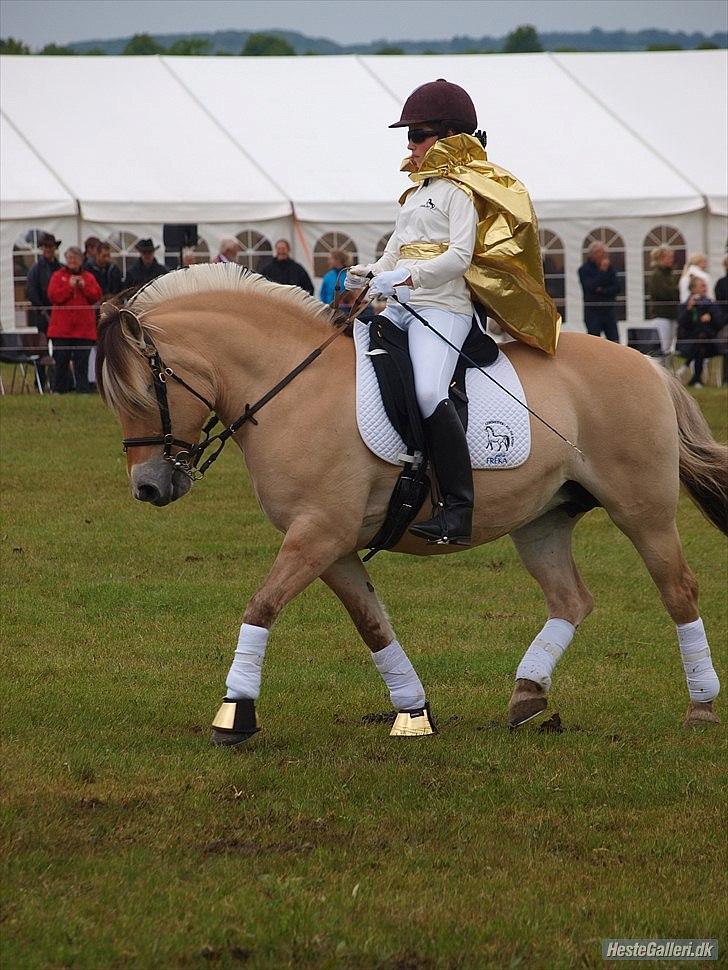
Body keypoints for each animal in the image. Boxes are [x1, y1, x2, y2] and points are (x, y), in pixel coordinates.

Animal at [96, 262, 728, 740]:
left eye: (145, 390)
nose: (148, 487)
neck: (292, 388)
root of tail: (647, 363)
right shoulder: (333, 545)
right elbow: (372, 625)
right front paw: (413, 712)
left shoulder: (318, 531)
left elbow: (261, 606)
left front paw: (235, 713)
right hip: (542, 520)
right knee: (572, 600)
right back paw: (527, 695)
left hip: (642, 511)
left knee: (678, 589)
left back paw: (700, 706)